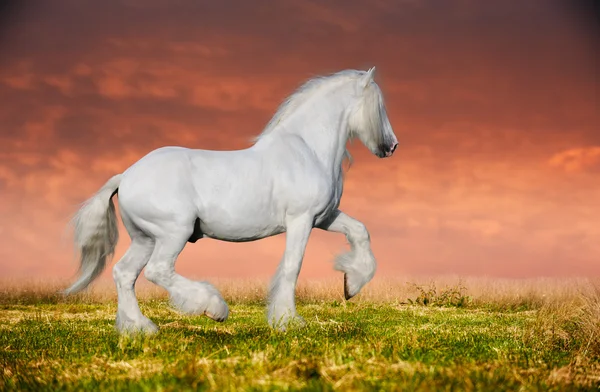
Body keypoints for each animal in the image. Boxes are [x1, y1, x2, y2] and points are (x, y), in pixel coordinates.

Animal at [63, 67, 398, 334]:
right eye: (379, 105)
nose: (392, 146)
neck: (307, 149)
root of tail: (126, 176)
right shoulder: (300, 220)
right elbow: (292, 267)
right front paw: (287, 321)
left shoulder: (324, 217)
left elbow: (359, 231)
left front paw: (351, 285)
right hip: (173, 232)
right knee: (157, 271)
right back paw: (214, 308)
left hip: (144, 238)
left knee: (124, 274)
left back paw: (141, 328)